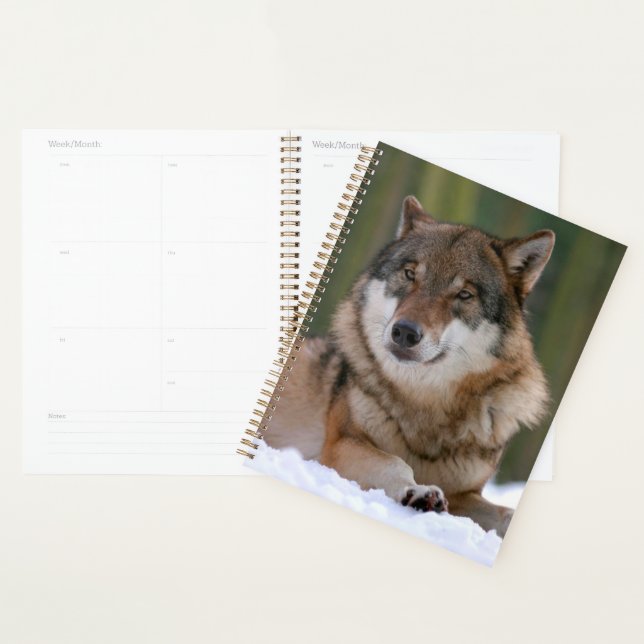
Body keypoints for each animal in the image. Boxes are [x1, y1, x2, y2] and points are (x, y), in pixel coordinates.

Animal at [266, 196, 554, 537]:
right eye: (410, 274)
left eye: (464, 294)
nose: (404, 332)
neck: (424, 401)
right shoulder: (341, 445)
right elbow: (395, 463)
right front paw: (419, 491)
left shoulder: (464, 494)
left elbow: (504, 514)